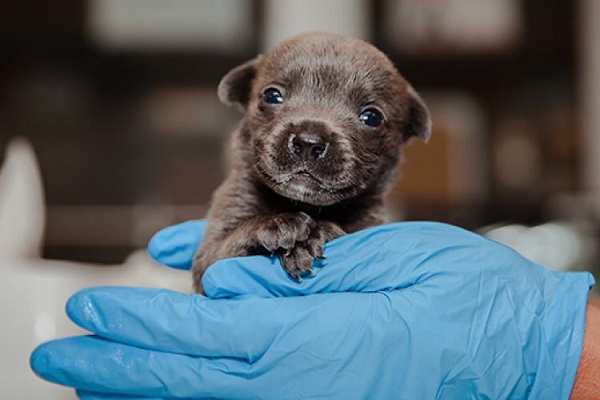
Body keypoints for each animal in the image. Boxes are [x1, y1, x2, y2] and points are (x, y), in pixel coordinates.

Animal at [192, 31, 432, 292]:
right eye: (271, 96)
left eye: (372, 117)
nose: (308, 142)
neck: (303, 205)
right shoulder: (212, 251)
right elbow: (224, 250)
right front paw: (278, 224)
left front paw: (318, 233)